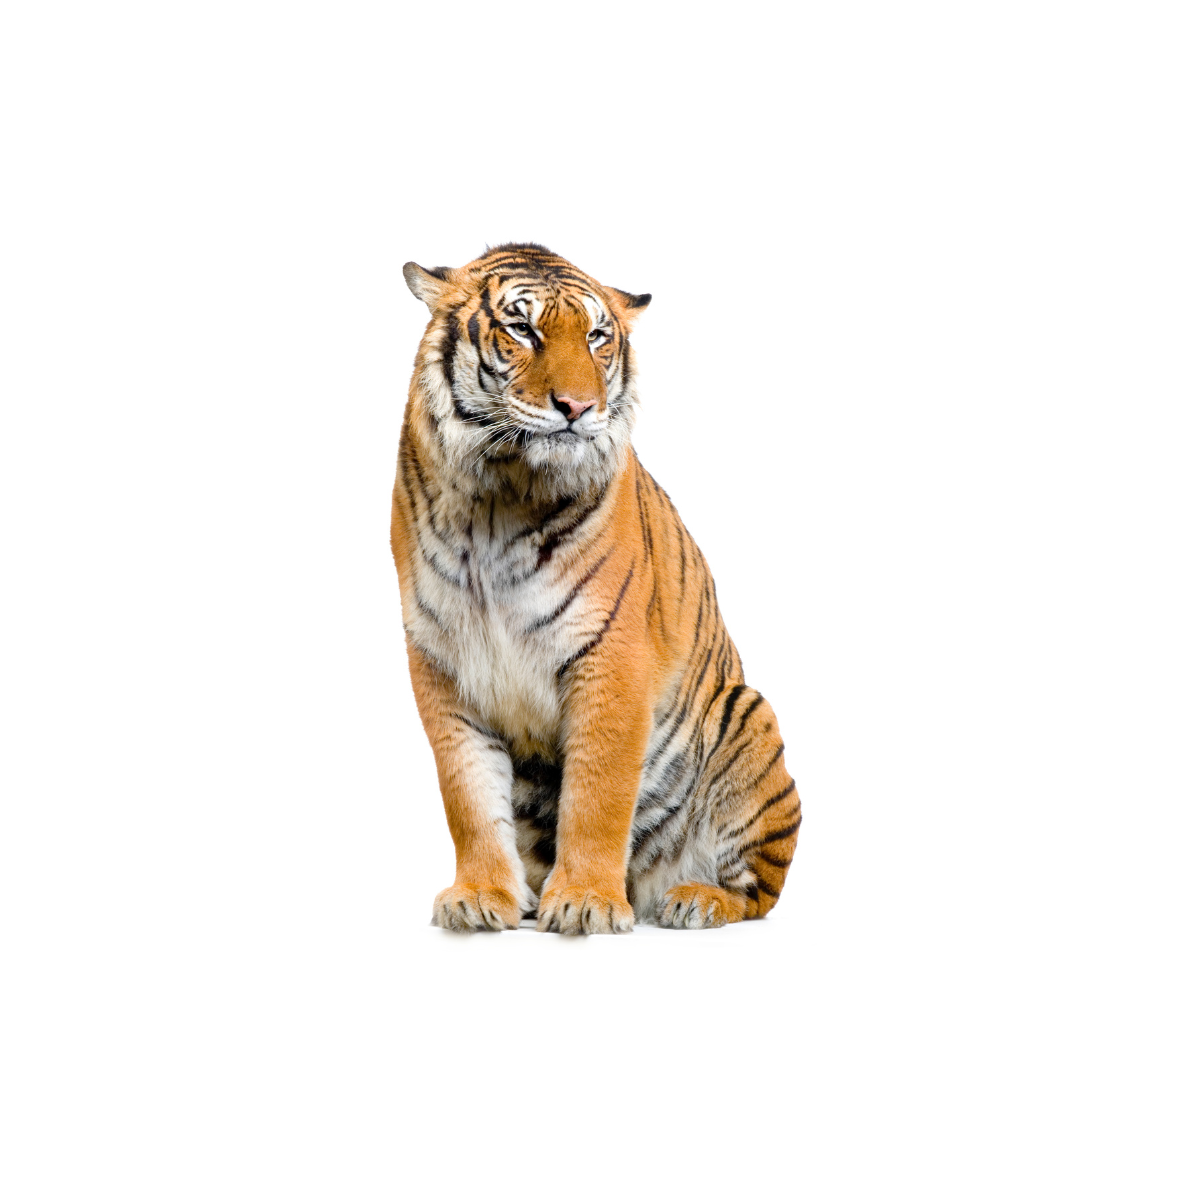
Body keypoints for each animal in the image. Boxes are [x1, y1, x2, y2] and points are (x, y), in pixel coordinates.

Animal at [391, 243, 799, 933]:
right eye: (522, 329)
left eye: (596, 337)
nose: (577, 408)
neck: (498, 498)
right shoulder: (442, 660)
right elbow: (467, 794)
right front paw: (480, 895)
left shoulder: (609, 654)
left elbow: (597, 793)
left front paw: (584, 900)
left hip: (748, 715)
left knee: (757, 892)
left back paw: (694, 899)